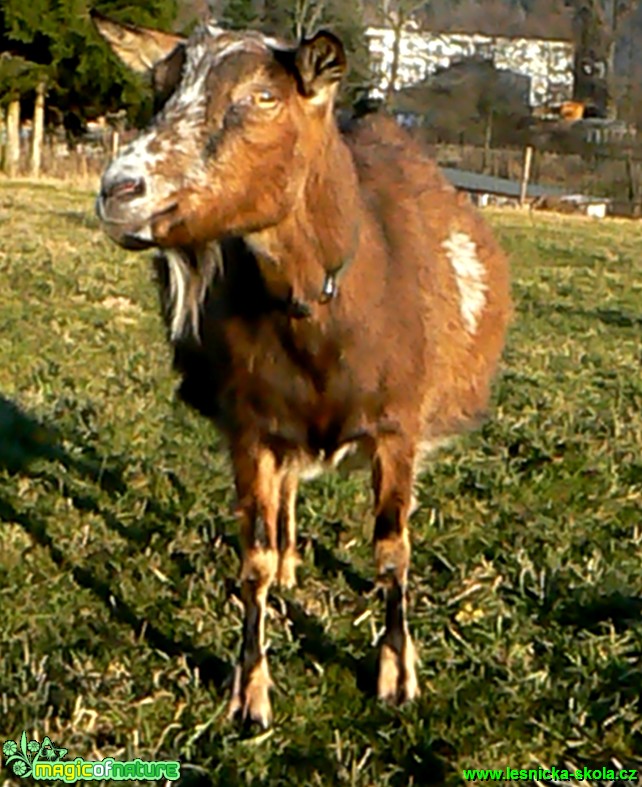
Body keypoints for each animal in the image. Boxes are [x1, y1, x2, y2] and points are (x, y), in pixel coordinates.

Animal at [92, 10, 510, 728]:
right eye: (159, 89)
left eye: (263, 96)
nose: (119, 191)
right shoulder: (251, 426)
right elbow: (253, 560)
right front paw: (250, 694)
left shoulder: (398, 427)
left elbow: (392, 551)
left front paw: (397, 674)